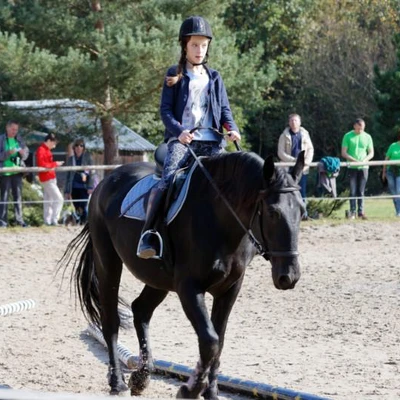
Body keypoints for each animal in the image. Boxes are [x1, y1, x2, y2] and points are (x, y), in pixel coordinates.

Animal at [61, 151, 304, 400]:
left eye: (302, 211)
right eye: (273, 212)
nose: (289, 276)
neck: (221, 220)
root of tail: (106, 181)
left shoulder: (229, 289)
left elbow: (219, 341)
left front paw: (211, 393)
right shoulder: (189, 287)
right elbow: (210, 340)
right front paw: (190, 389)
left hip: (158, 279)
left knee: (141, 310)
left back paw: (141, 377)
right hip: (108, 262)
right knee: (110, 319)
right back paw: (117, 383)